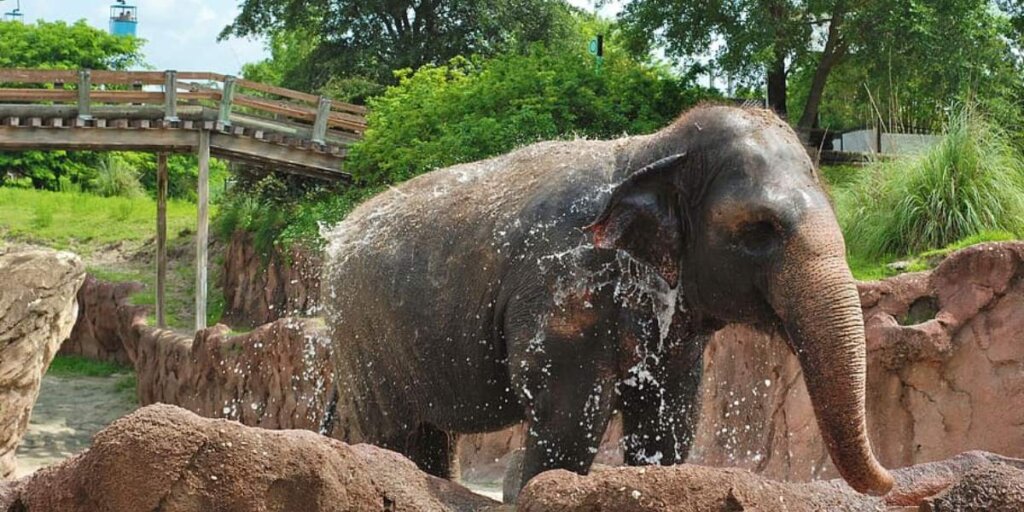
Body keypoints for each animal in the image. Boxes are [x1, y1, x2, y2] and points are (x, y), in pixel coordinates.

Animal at [323, 103, 892, 499]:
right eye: (759, 230)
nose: (889, 480)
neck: (653, 149)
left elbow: (668, 424)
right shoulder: (563, 288)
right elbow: (567, 421)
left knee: (433, 434)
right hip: (361, 336)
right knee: (394, 430)